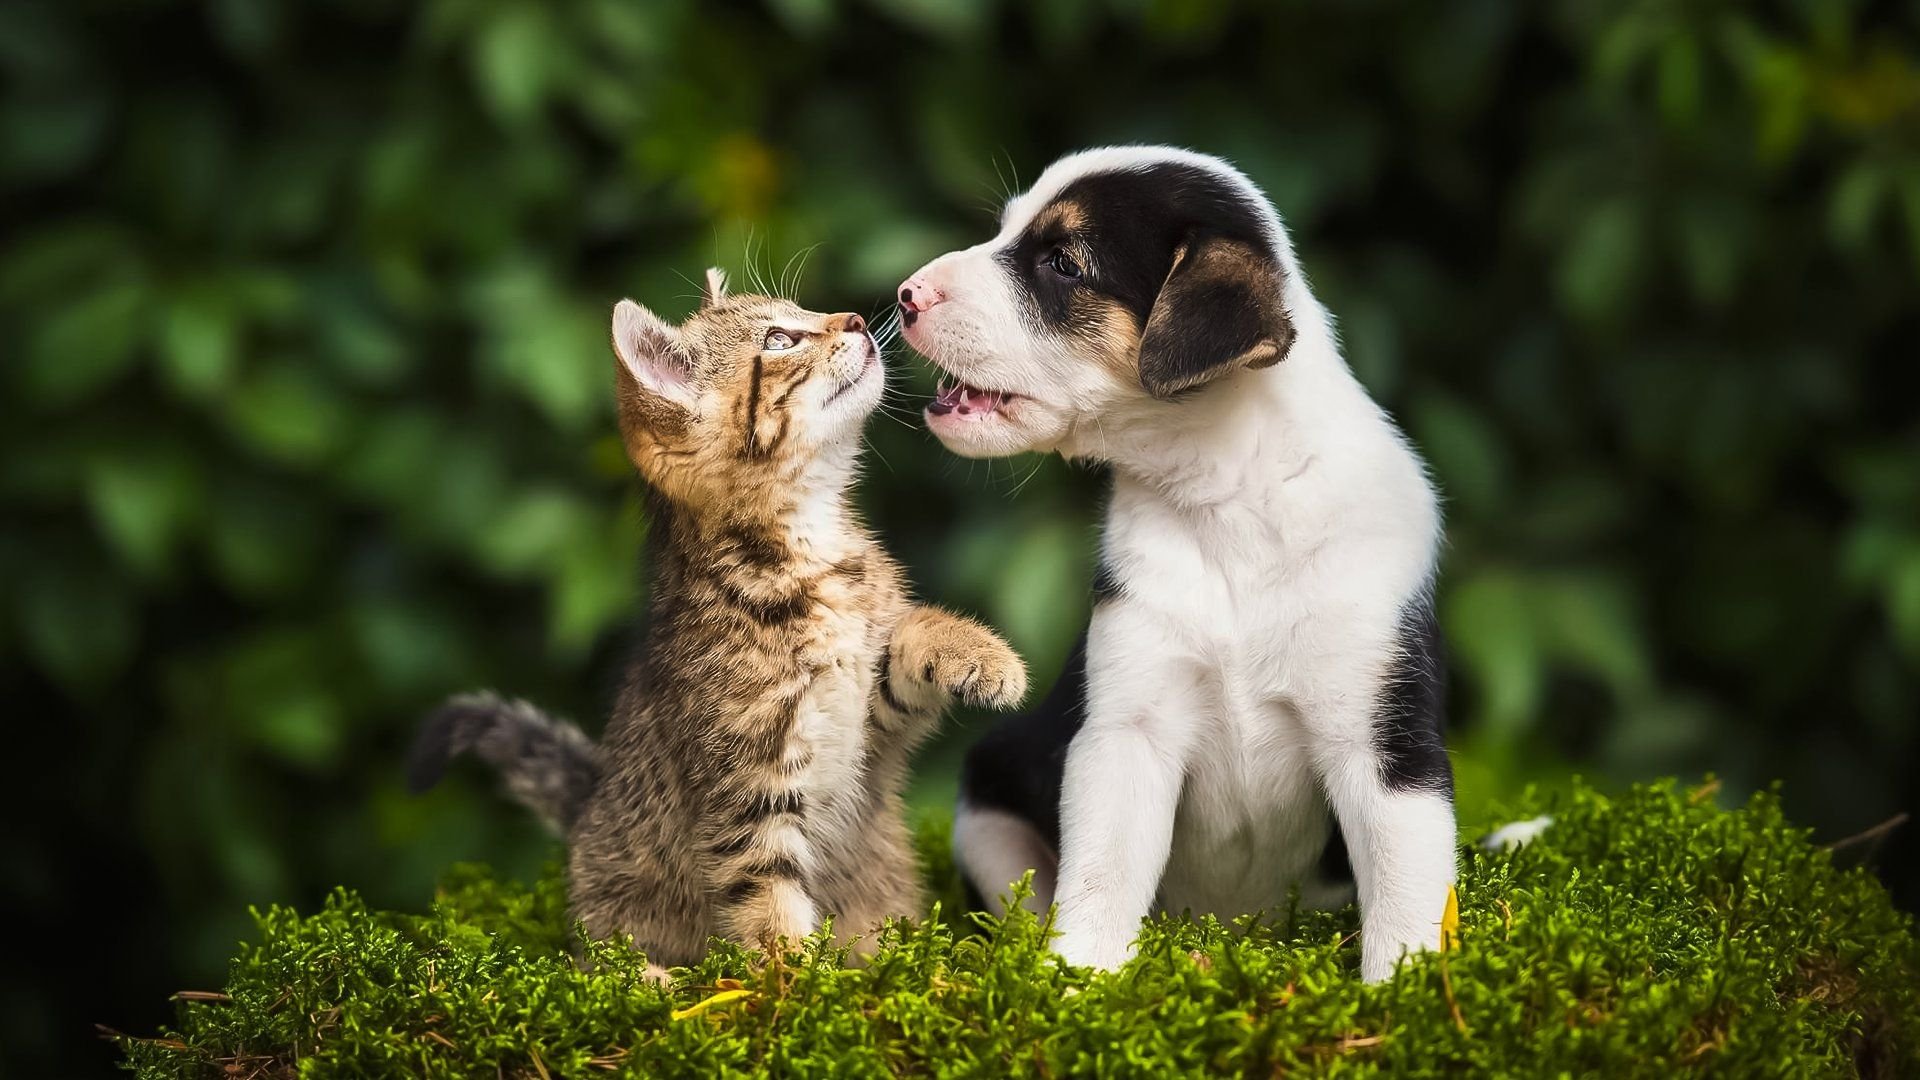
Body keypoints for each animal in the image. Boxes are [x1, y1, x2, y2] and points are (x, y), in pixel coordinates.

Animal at [412, 270, 1029, 968]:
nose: (855, 320)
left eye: (803, 312)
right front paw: (803, 982)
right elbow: (770, 908)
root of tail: (588, 811)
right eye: (780, 339)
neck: (806, 548)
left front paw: (983, 655)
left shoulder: (869, 716)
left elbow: (907, 641)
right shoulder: (748, 792)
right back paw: (653, 977)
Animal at [898, 147, 1451, 980]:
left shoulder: (1389, 750)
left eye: (1062, 263)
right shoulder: (1127, 732)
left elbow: (1405, 902)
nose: (905, 295)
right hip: (988, 804)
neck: (1228, 496)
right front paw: (1079, 985)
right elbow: (1101, 883)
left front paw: (1404, 995)